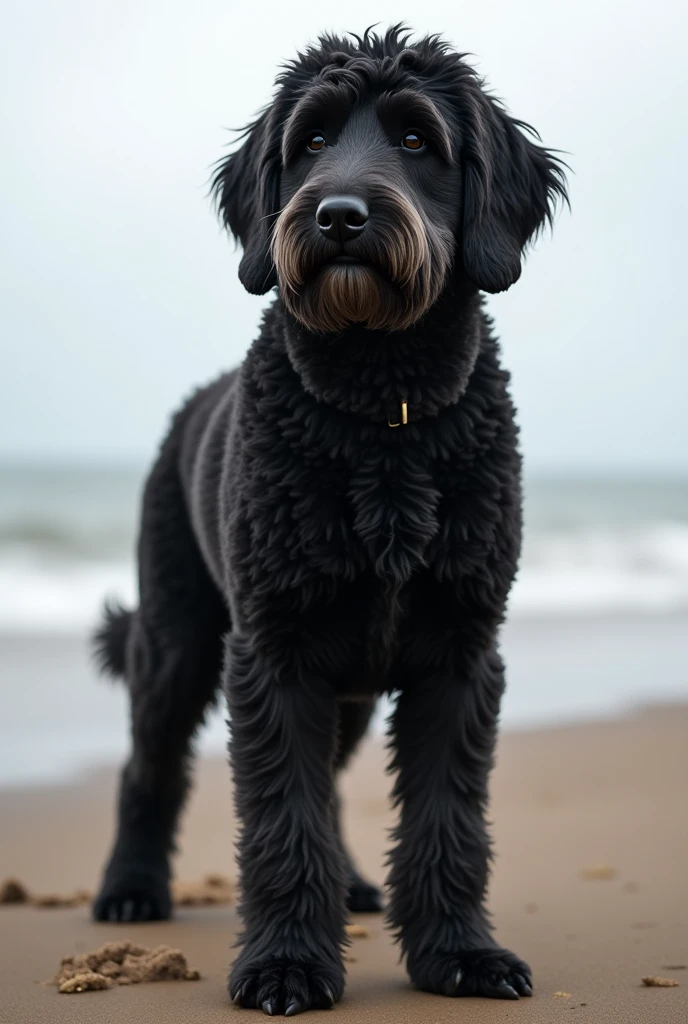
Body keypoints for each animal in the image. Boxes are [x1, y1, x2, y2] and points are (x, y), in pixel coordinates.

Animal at [92, 24, 565, 1015]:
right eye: (309, 141)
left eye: (417, 138)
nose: (339, 216)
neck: (383, 413)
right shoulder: (274, 652)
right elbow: (283, 816)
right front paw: (285, 964)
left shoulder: (460, 654)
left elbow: (447, 819)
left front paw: (461, 954)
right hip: (176, 641)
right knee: (146, 769)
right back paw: (130, 888)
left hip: (342, 685)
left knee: (336, 786)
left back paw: (348, 883)